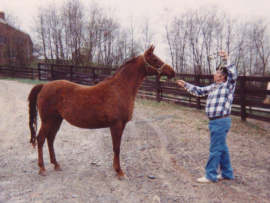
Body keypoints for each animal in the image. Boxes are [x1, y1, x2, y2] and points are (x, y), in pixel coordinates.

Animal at [27, 44, 175, 178]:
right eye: (155, 59)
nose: (172, 72)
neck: (119, 88)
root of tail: (44, 86)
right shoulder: (116, 124)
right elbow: (116, 148)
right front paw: (119, 172)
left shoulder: (121, 125)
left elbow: (117, 147)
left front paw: (116, 169)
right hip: (47, 120)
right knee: (41, 139)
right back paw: (42, 168)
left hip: (57, 119)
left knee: (50, 138)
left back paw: (56, 164)